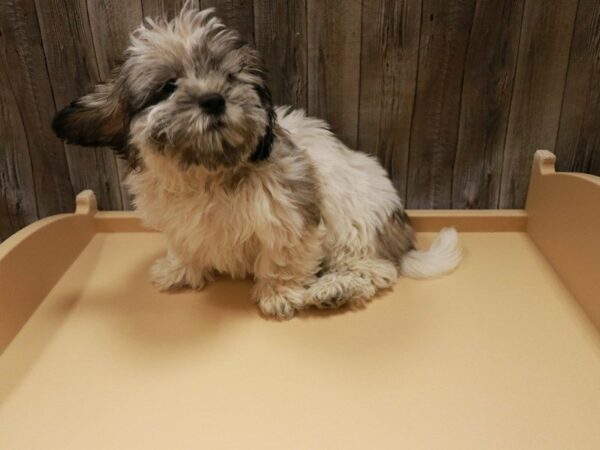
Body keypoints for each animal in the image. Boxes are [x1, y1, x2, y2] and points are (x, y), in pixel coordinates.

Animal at [52, 4, 464, 320]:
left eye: (229, 77)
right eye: (168, 86)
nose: (214, 99)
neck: (209, 175)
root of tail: (400, 236)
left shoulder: (290, 213)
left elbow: (282, 257)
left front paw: (279, 293)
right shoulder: (181, 221)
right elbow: (186, 245)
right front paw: (179, 269)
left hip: (356, 224)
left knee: (375, 269)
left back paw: (335, 289)